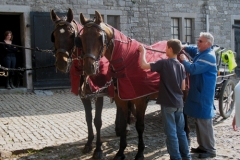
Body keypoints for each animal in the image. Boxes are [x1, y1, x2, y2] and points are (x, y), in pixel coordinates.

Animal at [77, 10, 191, 159]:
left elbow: (140, 126)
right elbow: (122, 124)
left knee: (184, 113)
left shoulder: (140, 100)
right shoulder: (121, 101)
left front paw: (140, 152)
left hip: (184, 93)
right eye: (81, 38)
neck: (127, 61)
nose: (89, 67)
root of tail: (183, 50)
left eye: (99, 37)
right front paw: (120, 151)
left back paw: (187, 133)